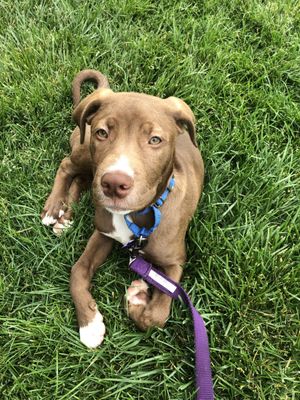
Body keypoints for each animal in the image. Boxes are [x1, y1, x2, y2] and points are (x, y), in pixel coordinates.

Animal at [41, 70, 204, 348]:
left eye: (155, 139)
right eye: (102, 133)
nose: (114, 184)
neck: (137, 217)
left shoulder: (175, 261)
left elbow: (157, 315)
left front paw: (137, 299)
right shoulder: (103, 233)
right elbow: (77, 271)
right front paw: (89, 324)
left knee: (82, 179)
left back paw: (65, 216)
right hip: (86, 153)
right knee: (67, 166)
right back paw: (54, 208)